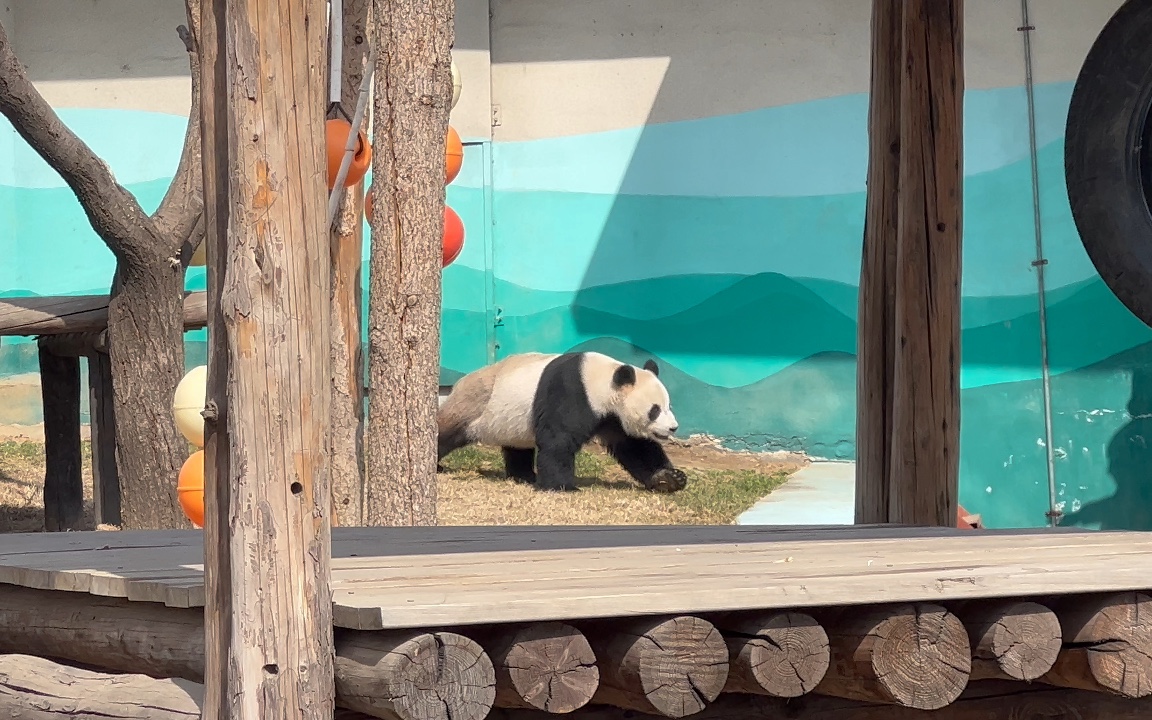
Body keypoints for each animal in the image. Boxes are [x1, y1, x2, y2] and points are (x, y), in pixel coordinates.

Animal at [435, 350, 686, 493]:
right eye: (654, 410)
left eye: (669, 406)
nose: (673, 428)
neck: (603, 380)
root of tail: (458, 383)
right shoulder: (572, 392)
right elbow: (558, 440)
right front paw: (562, 486)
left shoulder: (614, 418)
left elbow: (634, 446)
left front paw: (669, 479)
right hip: (475, 404)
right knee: (446, 431)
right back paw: (436, 465)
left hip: (512, 421)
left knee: (518, 448)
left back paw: (525, 476)